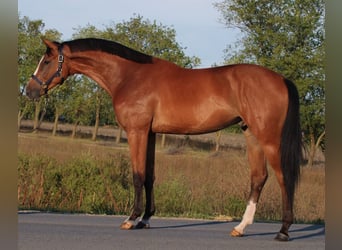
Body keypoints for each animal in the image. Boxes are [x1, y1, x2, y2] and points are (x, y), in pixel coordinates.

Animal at [24, 37, 302, 240]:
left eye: (46, 61)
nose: (29, 90)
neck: (129, 75)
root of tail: (281, 79)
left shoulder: (136, 131)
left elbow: (137, 175)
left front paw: (131, 219)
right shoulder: (150, 134)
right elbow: (150, 176)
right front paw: (145, 219)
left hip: (268, 138)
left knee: (283, 178)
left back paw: (283, 231)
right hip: (251, 135)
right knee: (259, 178)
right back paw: (241, 227)